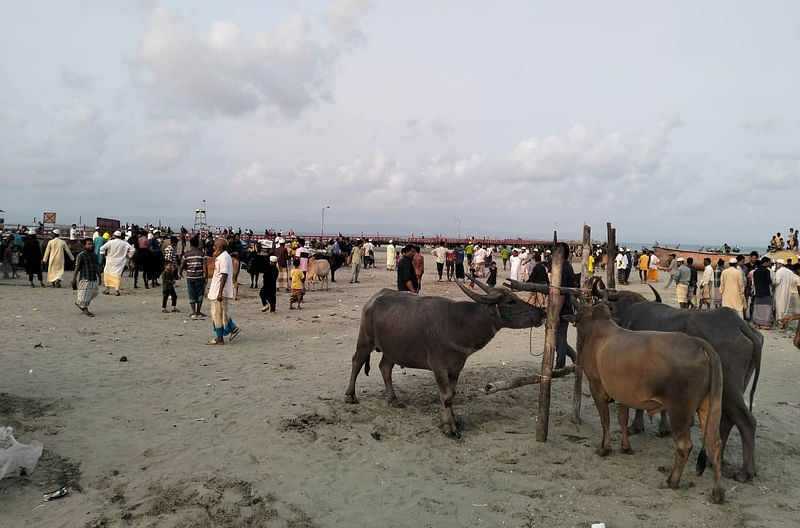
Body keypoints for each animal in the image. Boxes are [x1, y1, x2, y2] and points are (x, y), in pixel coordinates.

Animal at [344, 280, 544, 438]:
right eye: (511, 301)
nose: (541, 312)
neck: (459, 324)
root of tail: (374, 299)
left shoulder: (456, 368)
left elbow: (452, 394)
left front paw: (455, 420)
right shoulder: (438, 367)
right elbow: (446, 396)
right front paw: (449, 427)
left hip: (392, 349)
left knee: (385, 367)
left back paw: (393, 399)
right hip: (365, 340)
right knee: (356, 361)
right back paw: (350, 396)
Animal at [576, 302, 724, 504]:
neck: (597, 331)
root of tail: (698, 343)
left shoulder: (596, 386)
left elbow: (605, 420)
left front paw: (605, 448)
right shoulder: (623, 394)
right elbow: (622, 419)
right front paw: (626, 447)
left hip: (679, 409)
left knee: (684, 445)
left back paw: (671, 481)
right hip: (709, 405)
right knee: (714, 444)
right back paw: (717, 493)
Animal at [592, 280, 764, 482]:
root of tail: (739, 325)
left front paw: (637, 426)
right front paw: (661, 428)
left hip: (729, 389)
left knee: (746, 421)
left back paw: (745, 472)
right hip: (731, 389)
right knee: (727, 420)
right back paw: (714, 460)